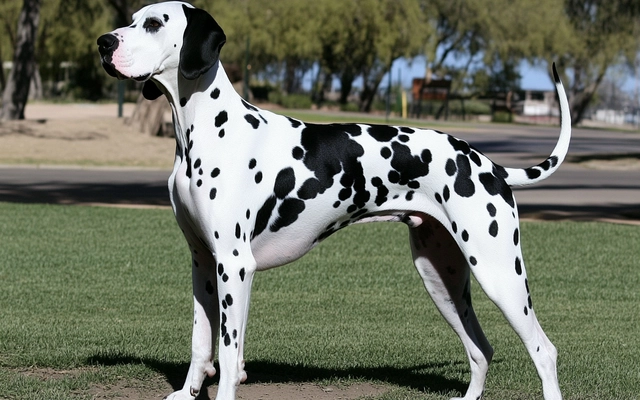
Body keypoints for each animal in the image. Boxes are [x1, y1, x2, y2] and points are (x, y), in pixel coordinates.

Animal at [97, 1, 568, 398]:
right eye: (133, 18)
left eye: (154, 23)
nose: (104, 43)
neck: (210, 129)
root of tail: (487, 163)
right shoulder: (203, 264)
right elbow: (201, 342)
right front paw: (188, 392)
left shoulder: (234, 265)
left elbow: (229, 354)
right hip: (442, 278)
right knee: (480, 349)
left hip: (499, 274)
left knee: (543, 351)